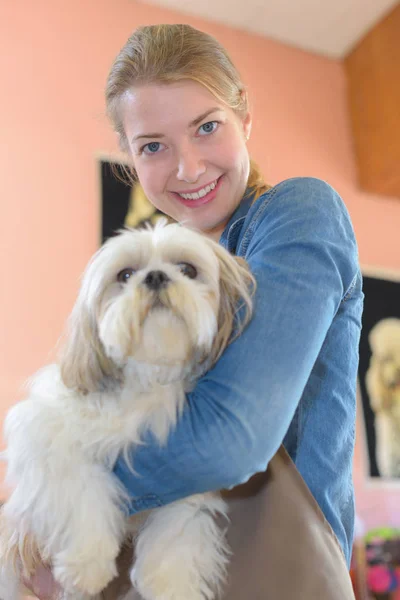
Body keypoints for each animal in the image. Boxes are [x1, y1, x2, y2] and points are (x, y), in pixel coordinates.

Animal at [0, 221, 255, 600]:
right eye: (125, 274)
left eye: (188, 269)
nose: (156, 277)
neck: (146, 379)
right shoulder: (45, 439)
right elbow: (85, 486)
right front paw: (87, 564)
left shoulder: (184, 468)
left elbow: (176, 536)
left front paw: (170, 585)